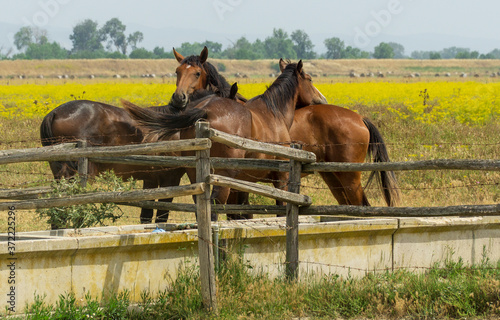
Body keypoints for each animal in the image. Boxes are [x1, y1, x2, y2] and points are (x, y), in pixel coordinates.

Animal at [38, 46, 238, 224]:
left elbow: (147, 215)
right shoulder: (170, 178)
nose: (178, 98)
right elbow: (161, 216)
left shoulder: (150, 179)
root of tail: (54, 113)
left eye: (197, 73)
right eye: (177, 71)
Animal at [122, 59, 328, 220]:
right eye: (310, 79)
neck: (273, 112)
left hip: (196, 177)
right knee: (213, 209)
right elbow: (279, 209)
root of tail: (205, 109)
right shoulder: (281, 179)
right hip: (222, 180)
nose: (323, 100)